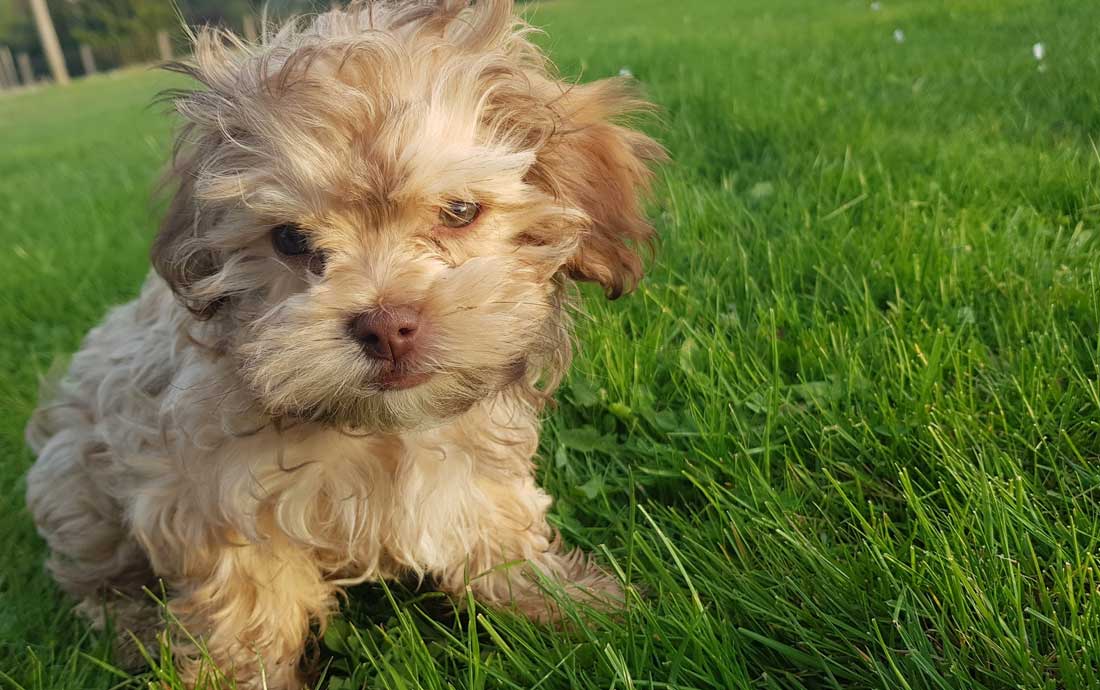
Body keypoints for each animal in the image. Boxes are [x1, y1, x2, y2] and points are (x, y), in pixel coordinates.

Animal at [23, 2, 660, 686]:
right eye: (290, 240)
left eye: (459, 211)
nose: (386, 325)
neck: (378, 427)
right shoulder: (214, 491)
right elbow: (247, 604)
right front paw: (237, 674)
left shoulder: (473, 462)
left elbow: (496, 521)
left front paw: (563, 601)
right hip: (74, 480)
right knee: (97, 576)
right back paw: (134, 626)